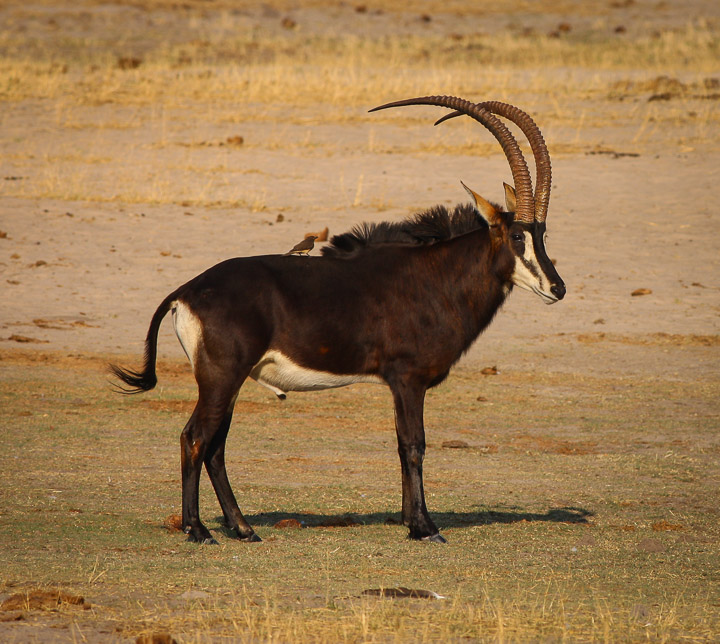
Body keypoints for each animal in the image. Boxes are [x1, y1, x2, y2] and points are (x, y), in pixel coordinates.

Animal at [111, 96, 566, 544]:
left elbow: (401, 444)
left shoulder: (399, 384)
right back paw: (198, 530)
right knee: (195, 437)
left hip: (230, 381)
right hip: (221, 377)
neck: (435, 276)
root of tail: (186, 291)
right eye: (516, 236)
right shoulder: (408, 379)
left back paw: (242, 528)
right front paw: (424, 527)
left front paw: (408, 520)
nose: (558, 288)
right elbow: (413, 444)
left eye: (542, 234)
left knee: (216, 445)